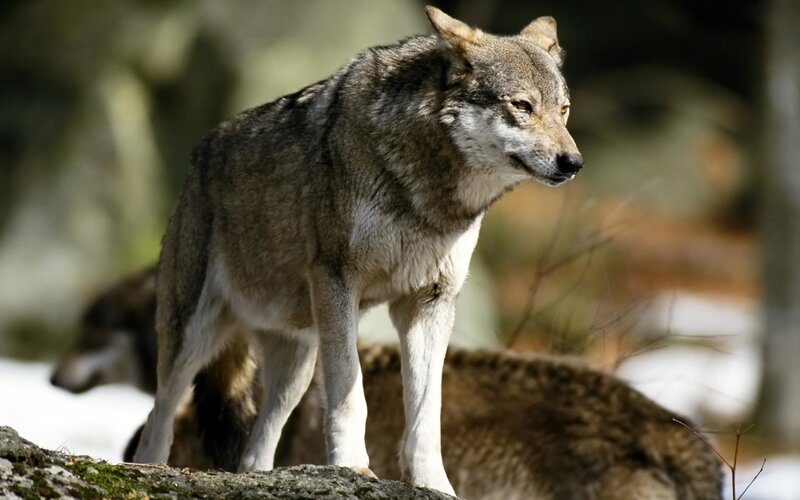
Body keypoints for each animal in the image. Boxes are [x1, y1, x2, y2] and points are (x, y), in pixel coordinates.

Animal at [132, 7, 583, 494]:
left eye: (563, 110)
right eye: (521, 106)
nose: (573, 163)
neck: (428, 197)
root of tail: (199, 153)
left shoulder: (429, 303)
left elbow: (427, 414)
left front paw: (434, 485)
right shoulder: (337, 281)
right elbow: (352, 394)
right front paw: (351, 465)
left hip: (298, 363)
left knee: (257, 445)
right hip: (194, 335)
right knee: (159, 414)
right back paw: (151, 469)